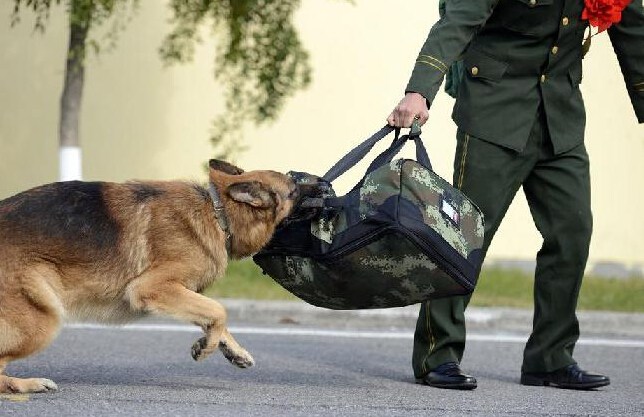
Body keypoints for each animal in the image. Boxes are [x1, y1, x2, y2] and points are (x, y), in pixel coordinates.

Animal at [0, 159, 298, 394]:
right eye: (294, 188)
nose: (309, 179)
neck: (216, 211)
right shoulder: (151, 288)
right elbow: (219, 311)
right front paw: (206, 347)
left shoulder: (182, 292)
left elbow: (212, 316)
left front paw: (231, 350)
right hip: (43, 320)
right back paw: (27, 384)